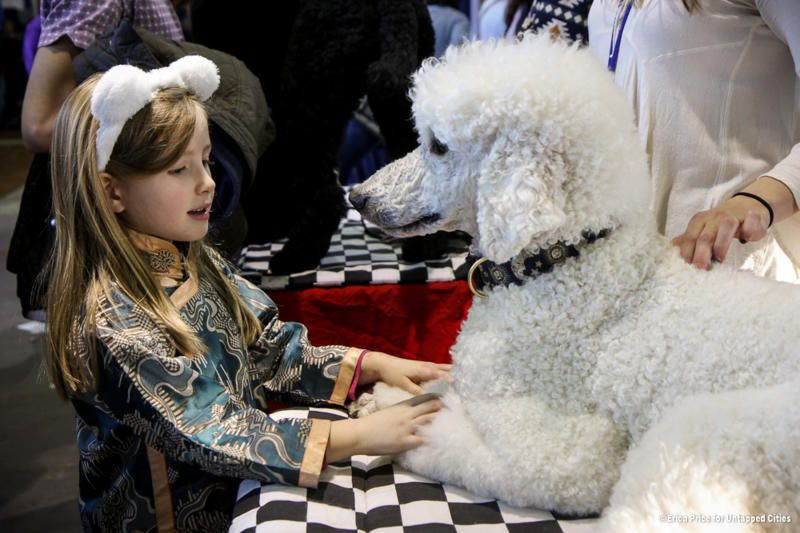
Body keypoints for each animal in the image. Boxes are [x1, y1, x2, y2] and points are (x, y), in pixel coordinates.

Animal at [348, 35, 800, 531]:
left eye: (439, 146)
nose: (357, 196)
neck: (561, 264)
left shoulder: (572, 455)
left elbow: (451, 438)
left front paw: (403, 421)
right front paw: (389, 397)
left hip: (703, 440)